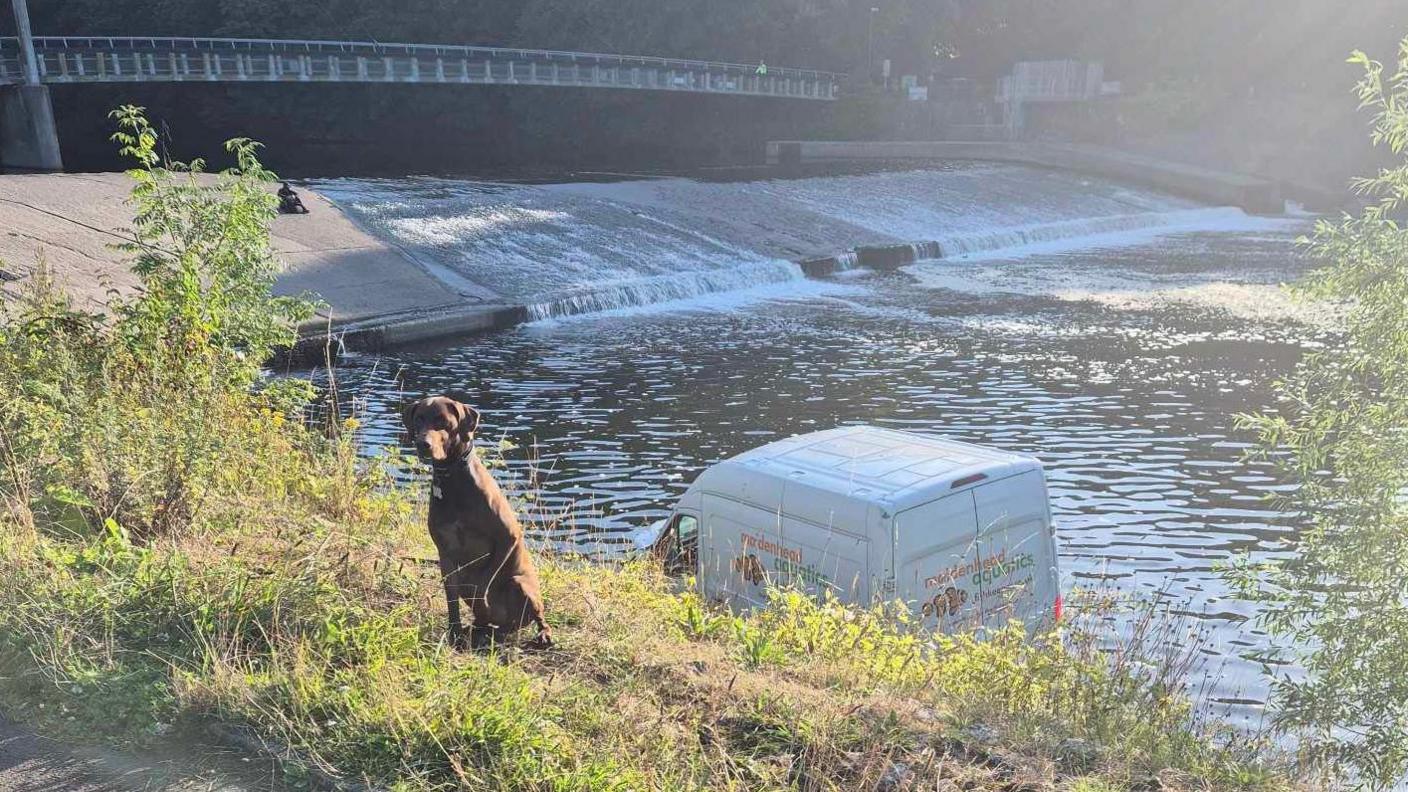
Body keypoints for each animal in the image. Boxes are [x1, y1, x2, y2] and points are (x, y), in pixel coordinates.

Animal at [402, 394, 549, 648]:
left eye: (442, 420)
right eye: (418, 419)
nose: (423, 444)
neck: (452, 479)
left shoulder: (508, 537)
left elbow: (484, 586)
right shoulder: (446, 555)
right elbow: (452, 600)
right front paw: (454, 633)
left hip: (521, 583)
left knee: (533, 617)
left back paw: (536, 633)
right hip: (465, 579)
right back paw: (480, 628)